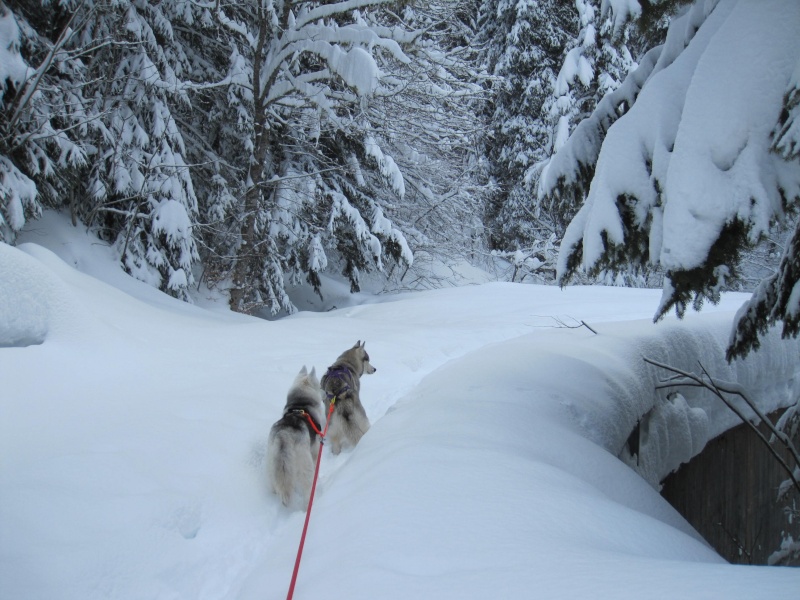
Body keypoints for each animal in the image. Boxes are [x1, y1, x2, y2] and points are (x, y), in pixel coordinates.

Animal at [264, 364, 324, 508]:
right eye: (319, 386)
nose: (325, 393)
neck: (300, 403)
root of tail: (283, 436)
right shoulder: (314, 450)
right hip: (304, 463)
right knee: (307, 488)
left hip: (271, 462)